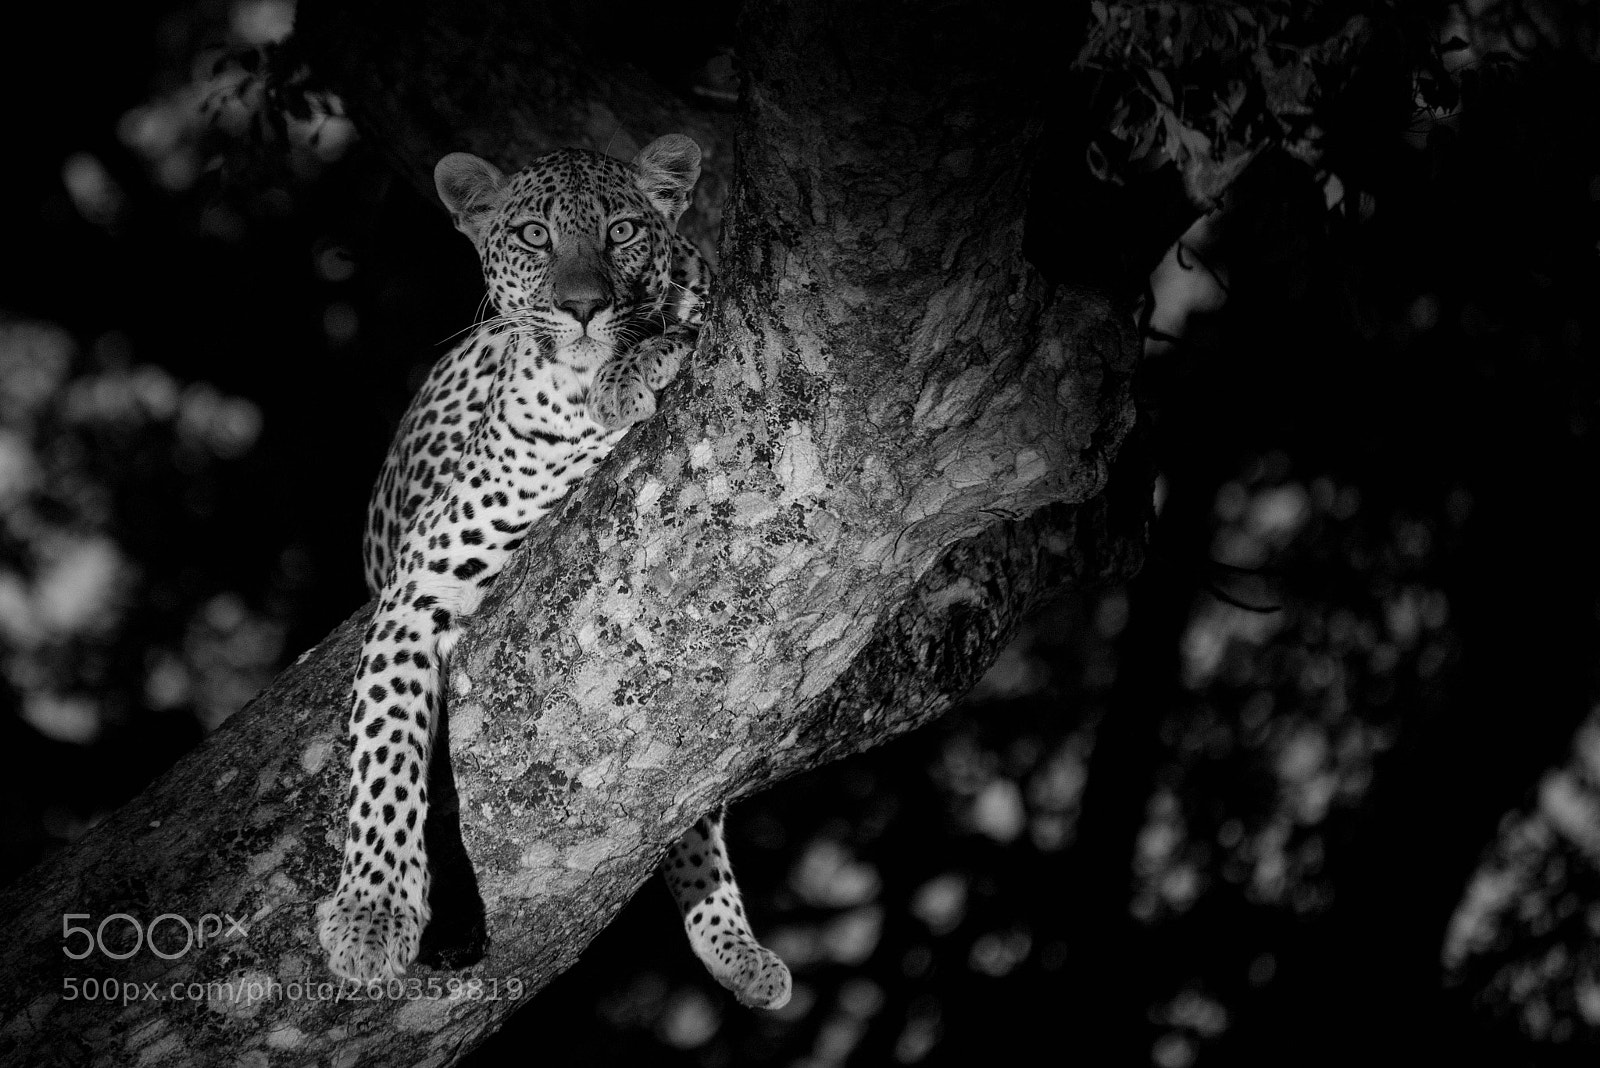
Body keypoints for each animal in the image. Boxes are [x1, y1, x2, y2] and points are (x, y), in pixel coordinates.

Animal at [316, 134, 791, 1011]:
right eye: (534, 236)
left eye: (623, 231)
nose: (581, 308)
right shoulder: (418, 586)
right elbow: (383, 753)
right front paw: (372, 915)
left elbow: (684, 326)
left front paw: (632, 368)